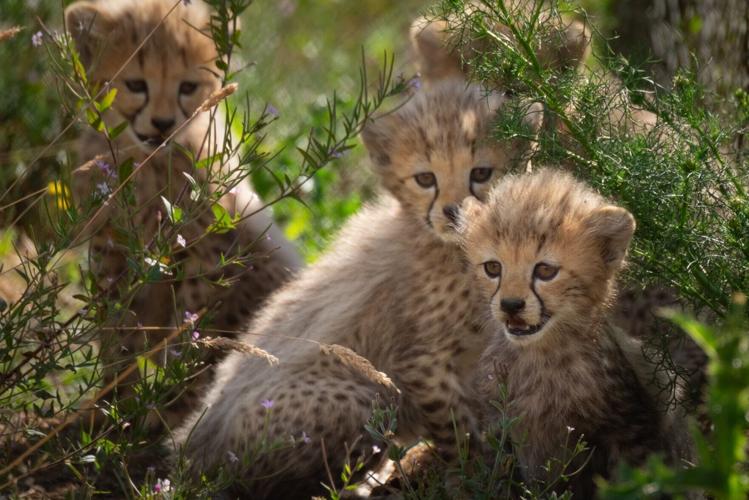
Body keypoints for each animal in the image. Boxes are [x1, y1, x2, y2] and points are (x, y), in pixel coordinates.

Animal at [64, 0, 302, 429]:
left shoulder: (206, 249)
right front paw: (113, 403)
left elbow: (194, 335)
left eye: (188, 87)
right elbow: (116, 326)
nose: (162, 123)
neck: (149, 164)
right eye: (136, 85)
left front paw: (172, 408)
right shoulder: (112, 246)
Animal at [173, 78, 545, 498]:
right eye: (426, 179)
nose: (454, 212)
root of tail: (192, 452)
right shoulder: (421, 362)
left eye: (481, 172)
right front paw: (472, 479)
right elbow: (457, 433)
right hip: (359, 398)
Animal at [460, 168, 695, 497]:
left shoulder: (631, 429)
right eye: (493, 267)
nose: (510, 305)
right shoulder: (504, 433)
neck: (543, 355)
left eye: (545, 271)